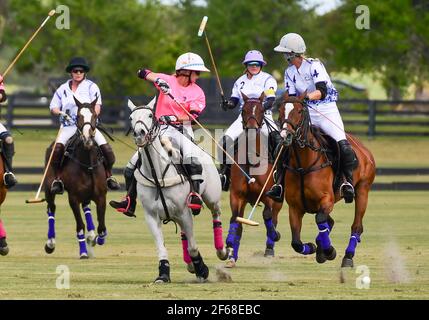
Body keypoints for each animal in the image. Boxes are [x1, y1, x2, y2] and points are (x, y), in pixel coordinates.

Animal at [43, 96, 108, 258]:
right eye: (78, 116)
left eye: (94, 115)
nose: (88, 138)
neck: (87, 163)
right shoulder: (73, 198)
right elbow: (80, 226)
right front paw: (83, 251)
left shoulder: (101, 197)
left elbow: (102, 227)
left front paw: (97, 239)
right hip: (48, 187)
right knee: (51, 208)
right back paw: (50, 243)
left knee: (86, 208)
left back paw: (91, 236)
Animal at [127, 97, 227, 282]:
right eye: (131, 117)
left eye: (150, 115)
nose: (139, 134)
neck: (157, 174)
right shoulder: (151, 216)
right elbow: (161, 248)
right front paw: (163, 274)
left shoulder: (184, 212)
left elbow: (193, 247)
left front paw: (202, 269)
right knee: (184, 234)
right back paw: (190, 263)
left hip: (212, 198)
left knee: (216, 215)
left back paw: (222, 251)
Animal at [224, 93, 284, 268]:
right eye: (243, 110)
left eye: (262, 110)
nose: (251, 129)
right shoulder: (236, 196)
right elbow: (235, 220)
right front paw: (230, 250)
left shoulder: (268, 195)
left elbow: (267, 215)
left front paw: (275, 236)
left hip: (278, 199)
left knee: (274, 217)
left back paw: (270, 248)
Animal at [278, 92, 374, 268]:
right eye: (281, 110)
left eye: (300, 111)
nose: (285, 136)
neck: (303, 166)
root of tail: (364, 150)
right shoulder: (294, 207)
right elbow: (296, 242)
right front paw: (313, 247)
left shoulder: (327, 200)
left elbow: (320, 219)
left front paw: (329, 251)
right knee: (331, 222)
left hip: (363, 191)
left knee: (356, 226)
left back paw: (347, 257)